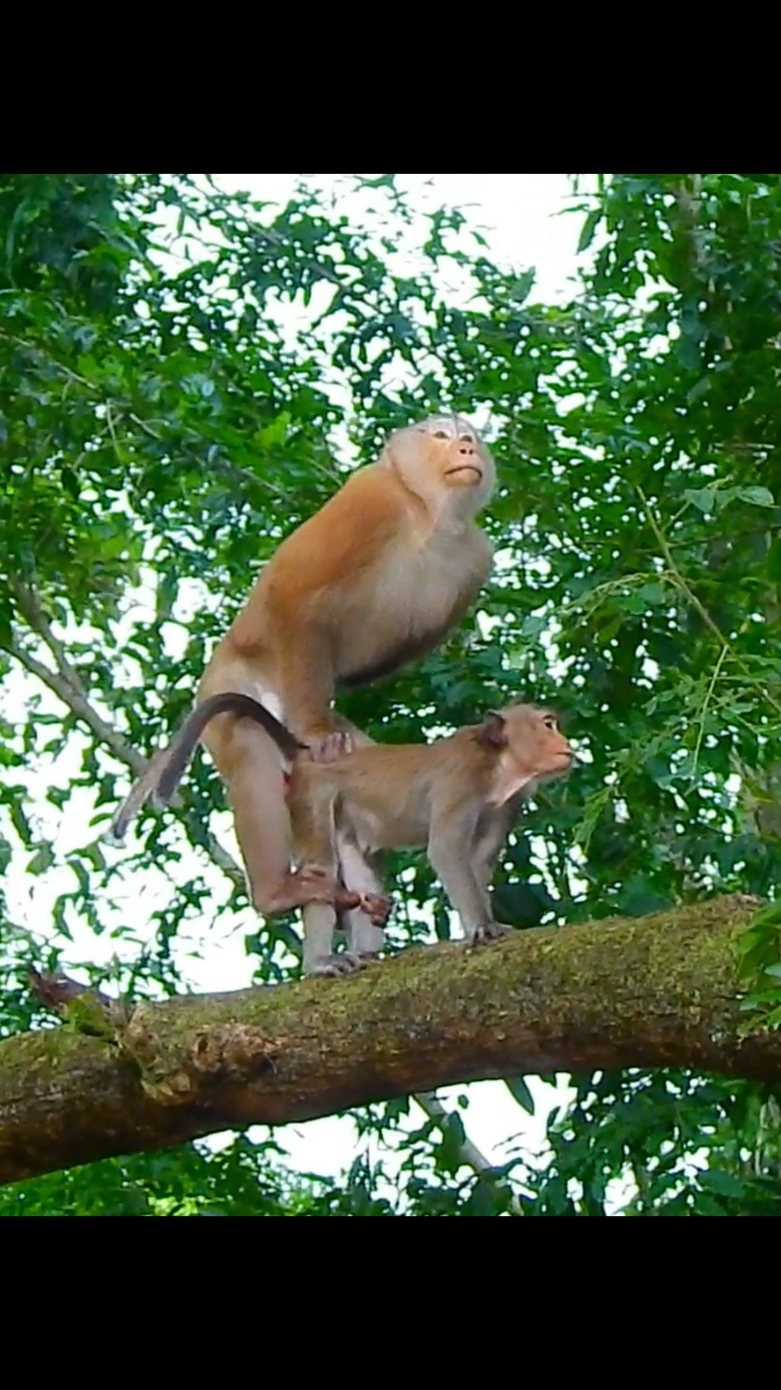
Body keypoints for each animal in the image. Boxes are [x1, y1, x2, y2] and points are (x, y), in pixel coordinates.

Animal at [111, 405, 491, 917]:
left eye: (468, 437)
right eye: (440, 436)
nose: (467, 448)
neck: (427, 514)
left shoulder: (477, 558)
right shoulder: (371, 499)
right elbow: (295, 596)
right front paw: (316, 732)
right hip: (235, 685)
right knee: (248, 740)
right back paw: (275, 891)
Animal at [118, 695, 575, 978]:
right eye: (547, 724)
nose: (567, 743)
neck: (498, 763)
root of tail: (308, 756)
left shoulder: (507, 804)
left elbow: (477, 861)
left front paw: (486, 921)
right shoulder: (460, 781)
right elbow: (446, 851)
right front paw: (481, 928)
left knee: (360, 874)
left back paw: (367, 948)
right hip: (313, 796)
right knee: (321, 868)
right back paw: (319, 962)